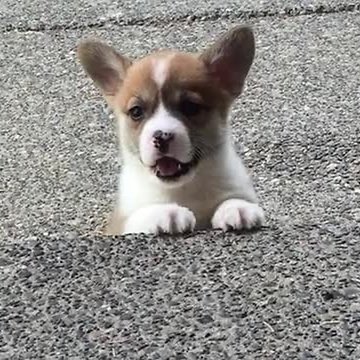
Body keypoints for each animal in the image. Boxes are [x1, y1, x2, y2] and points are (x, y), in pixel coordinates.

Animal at [78, 24, 264, 233]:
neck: (182, 188)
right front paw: (167, 212)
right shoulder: (119, 226)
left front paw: (237, 207)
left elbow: (233, 198)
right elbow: (138, 217)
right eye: (136, 112)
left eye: (190, 107)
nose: (162, 136)